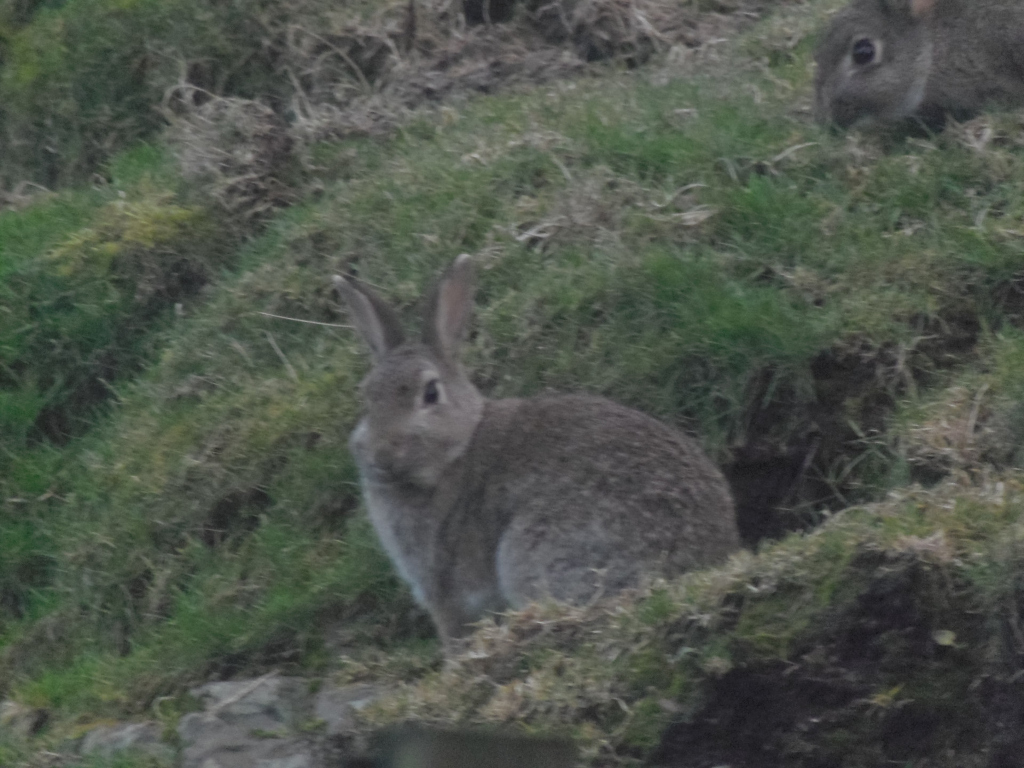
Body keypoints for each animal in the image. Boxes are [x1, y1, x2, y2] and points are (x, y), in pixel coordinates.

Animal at [333, 255, 740, 649]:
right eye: (367, 397)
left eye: (430, 394)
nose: (381, 456)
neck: (458, 449)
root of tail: (704, 556)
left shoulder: (444, 589)